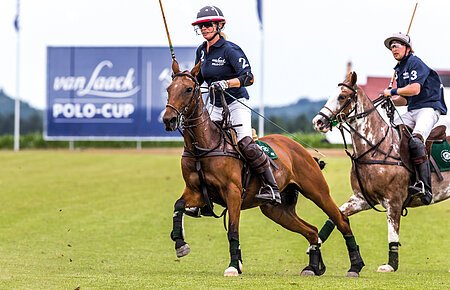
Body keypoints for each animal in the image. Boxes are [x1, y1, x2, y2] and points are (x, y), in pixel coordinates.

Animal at [163, 60, 366, 278]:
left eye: (188, 89)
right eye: (168, 89)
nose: (168, 119)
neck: (204, 146)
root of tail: (301, 149)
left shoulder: (233, 192)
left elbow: (233, 230)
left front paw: (233, 266)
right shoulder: (196, 191)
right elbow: (178, 205)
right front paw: (180, 243)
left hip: (317, 192)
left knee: (341, 220)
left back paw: (355, 265)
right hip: (276, 210)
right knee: (311, 230)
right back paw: (312, 267)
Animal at [312, 71, 450, 274]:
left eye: (342, 96)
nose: (318, 122)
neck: (375, 147)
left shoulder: (393, 201)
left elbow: (393, 234)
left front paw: (391, 265)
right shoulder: (361, 198)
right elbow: (335, 217)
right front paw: (313, 247)